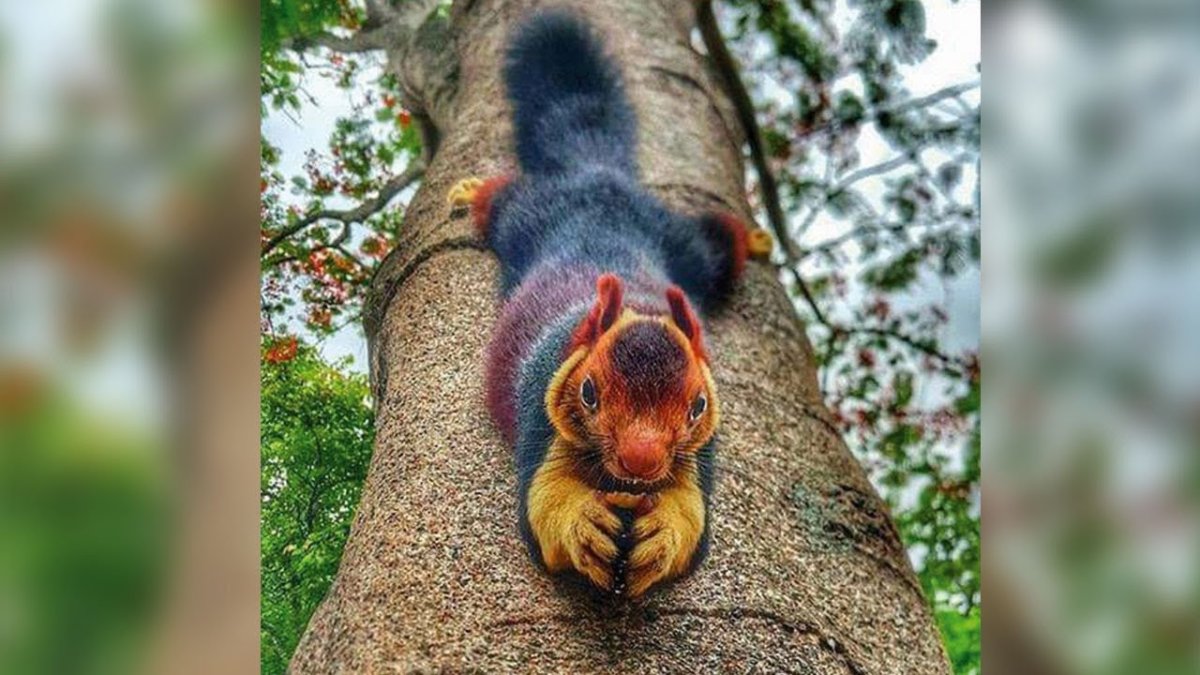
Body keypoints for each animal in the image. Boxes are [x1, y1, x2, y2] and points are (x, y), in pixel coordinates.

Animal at [447, 11, 772, 598]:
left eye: (698, 405)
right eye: (589, 393)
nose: (640, 460)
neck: (643, 310)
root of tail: (599, 177)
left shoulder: (702, 450)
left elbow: (692, 513)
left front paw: (663, 532)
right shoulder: (540, 404)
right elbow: (543, 501)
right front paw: (583, 525)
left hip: (687, 246)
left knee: (717, 242)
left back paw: (754, 240)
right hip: (528, 214)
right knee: (503, 198)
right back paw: (473, 190)